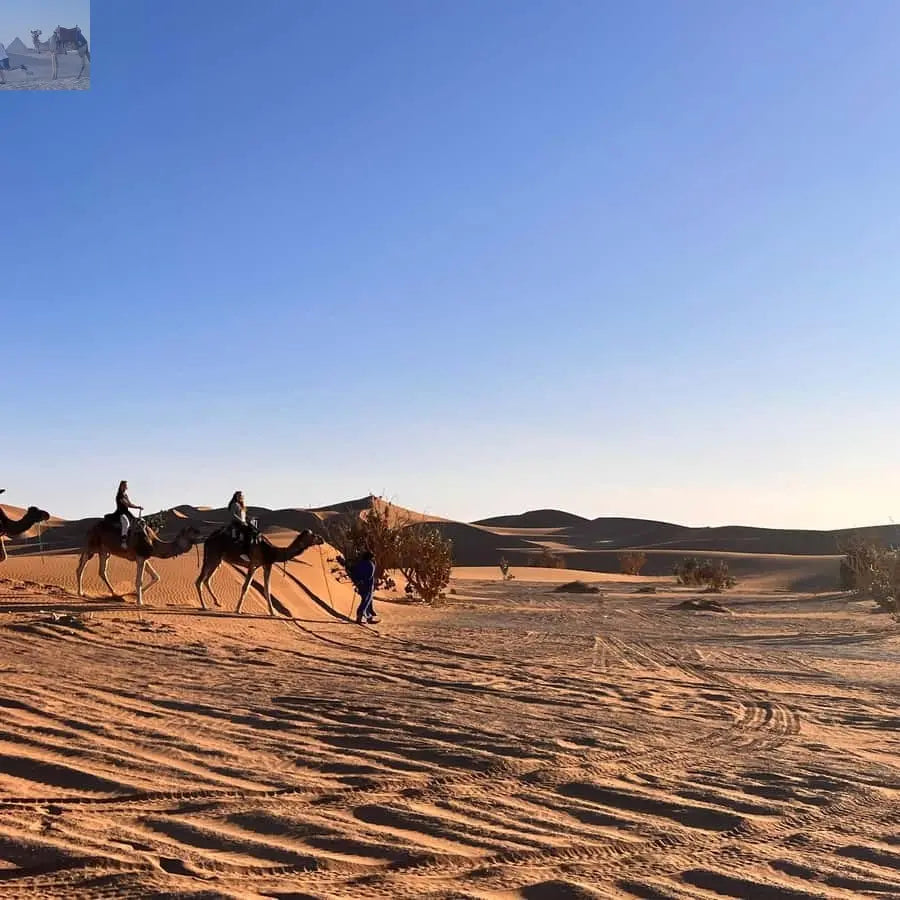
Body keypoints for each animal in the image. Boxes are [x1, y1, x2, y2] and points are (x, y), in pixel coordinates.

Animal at [195, 528, 324, 616]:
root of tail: (207, 540)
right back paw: (204, 606)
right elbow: (245, 587)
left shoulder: (265, 565)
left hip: (218, 560)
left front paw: (273, 612)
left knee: (207, 579)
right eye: (313, 535)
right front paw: (238, 609)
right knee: (199, 580)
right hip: (213, 556)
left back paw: (217, 602)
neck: (272, 551)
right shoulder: (253, 565)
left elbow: (267, 589)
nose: (322, 539)